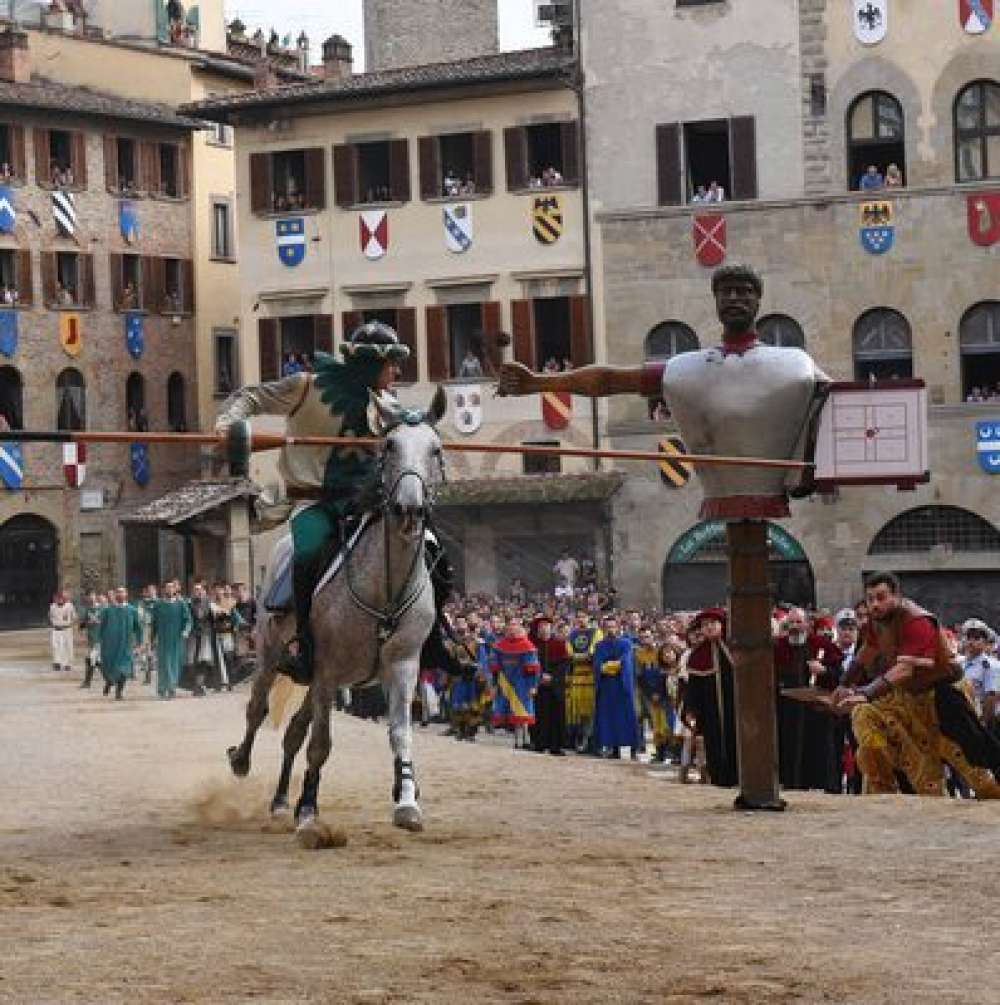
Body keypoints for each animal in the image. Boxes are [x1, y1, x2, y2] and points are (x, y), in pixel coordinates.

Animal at [229, 387, 448, 836]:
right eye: (389, 445)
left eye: (435, 449)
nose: (409, 510)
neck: (384, 588)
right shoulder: (328, 669)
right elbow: (321, 744)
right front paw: (310, 809)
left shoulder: (402, 666)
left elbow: (400, 735)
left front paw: (407, 801)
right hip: (273, 653)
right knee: (258, 708)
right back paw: (243, 762)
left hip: (315, 679)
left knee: (294, 731)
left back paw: (282, 800)